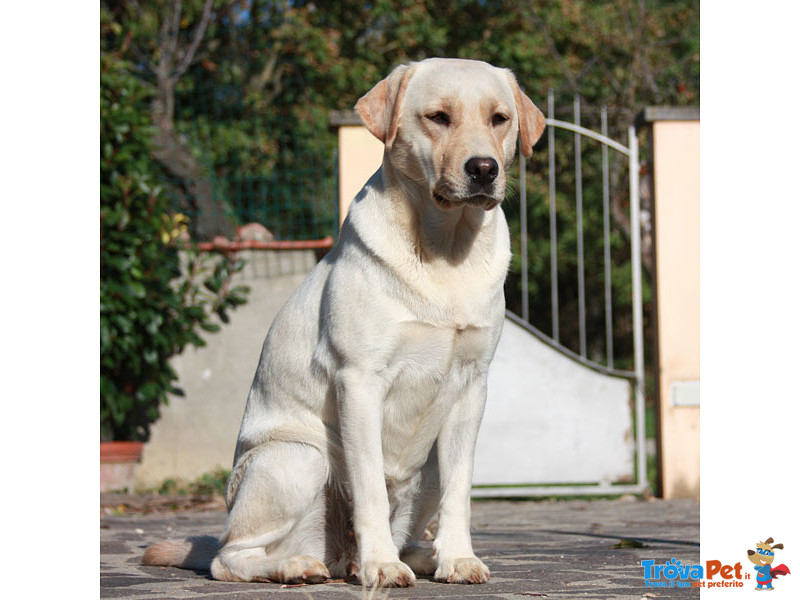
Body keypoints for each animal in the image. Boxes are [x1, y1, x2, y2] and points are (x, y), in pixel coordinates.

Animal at [142, 59, 544, 584]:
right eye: (438, 117)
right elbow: (368, 485)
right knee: (229, 557)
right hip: (299, 460)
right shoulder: (359, 380)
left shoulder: (471, 385)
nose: (483, 169)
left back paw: (411, 557)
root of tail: (338, 554)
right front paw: (383, 568)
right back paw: (302, 565)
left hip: (425, 470)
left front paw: (458, 559)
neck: (444, 250)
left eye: (499, 119)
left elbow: (461, 491)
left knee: (406, 529)